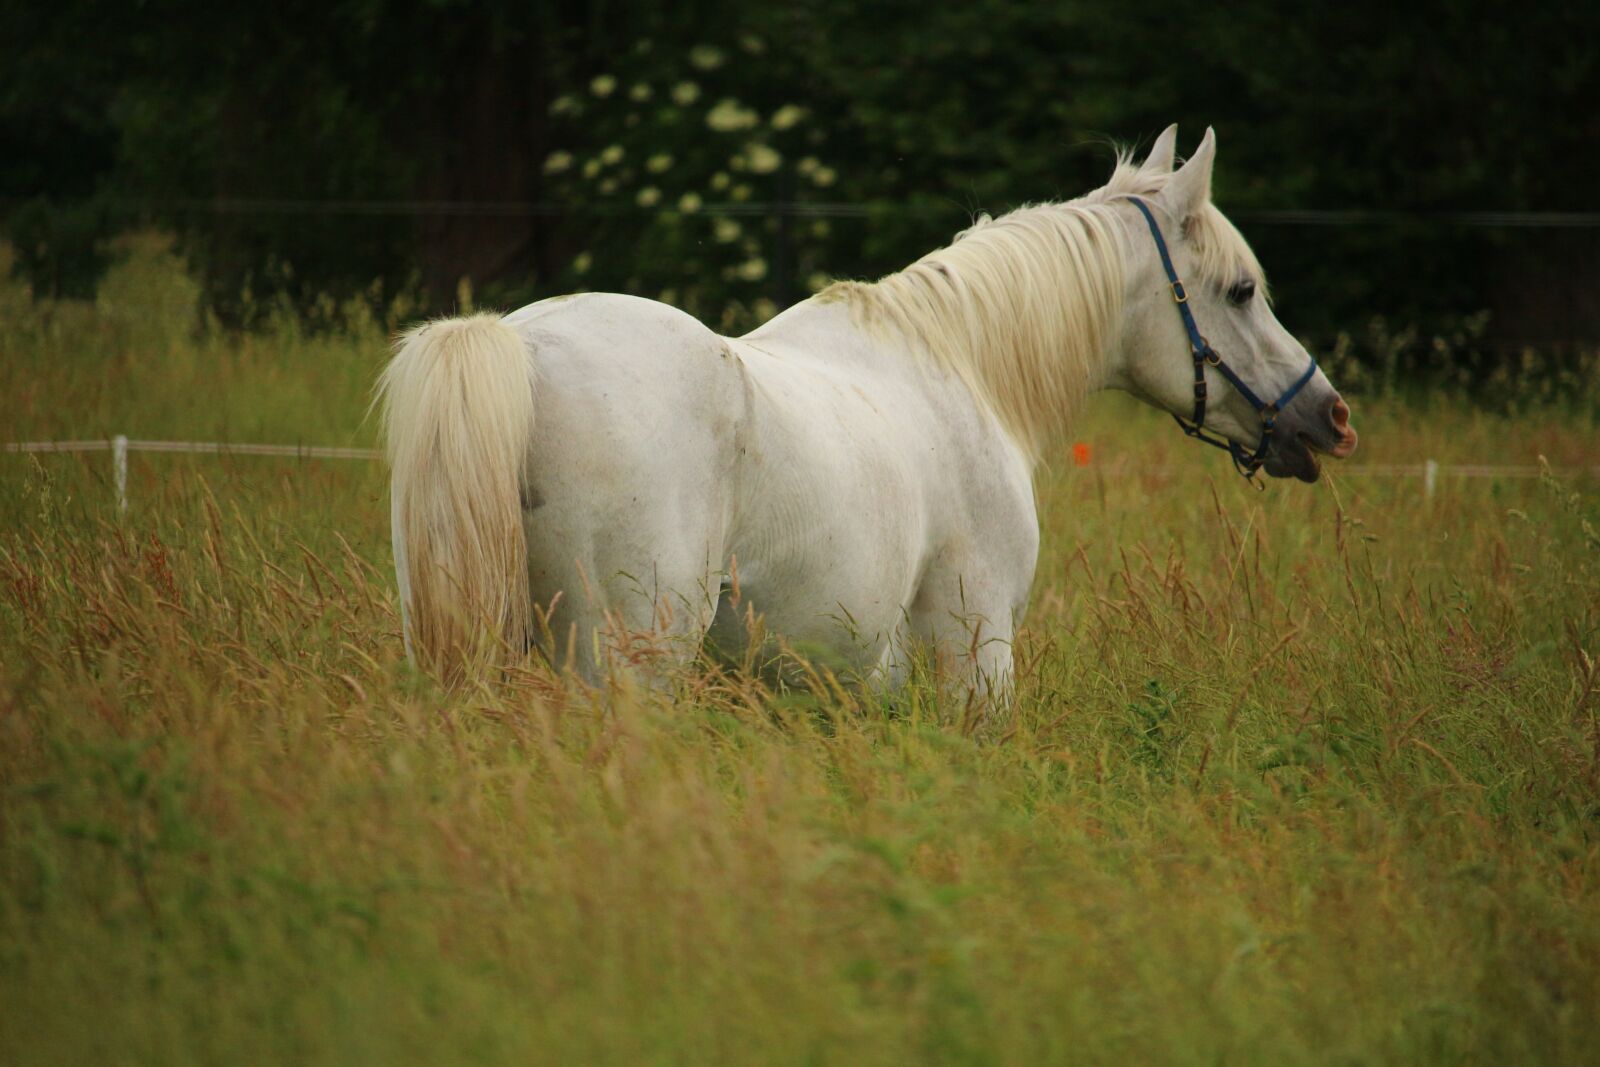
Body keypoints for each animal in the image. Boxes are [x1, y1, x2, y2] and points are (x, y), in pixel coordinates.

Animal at [378, 125, 1358, 692]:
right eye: (1240, 291)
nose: (1331, 417)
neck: (959, 362)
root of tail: (521, 347)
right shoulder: (976, 658)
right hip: (626, 670)